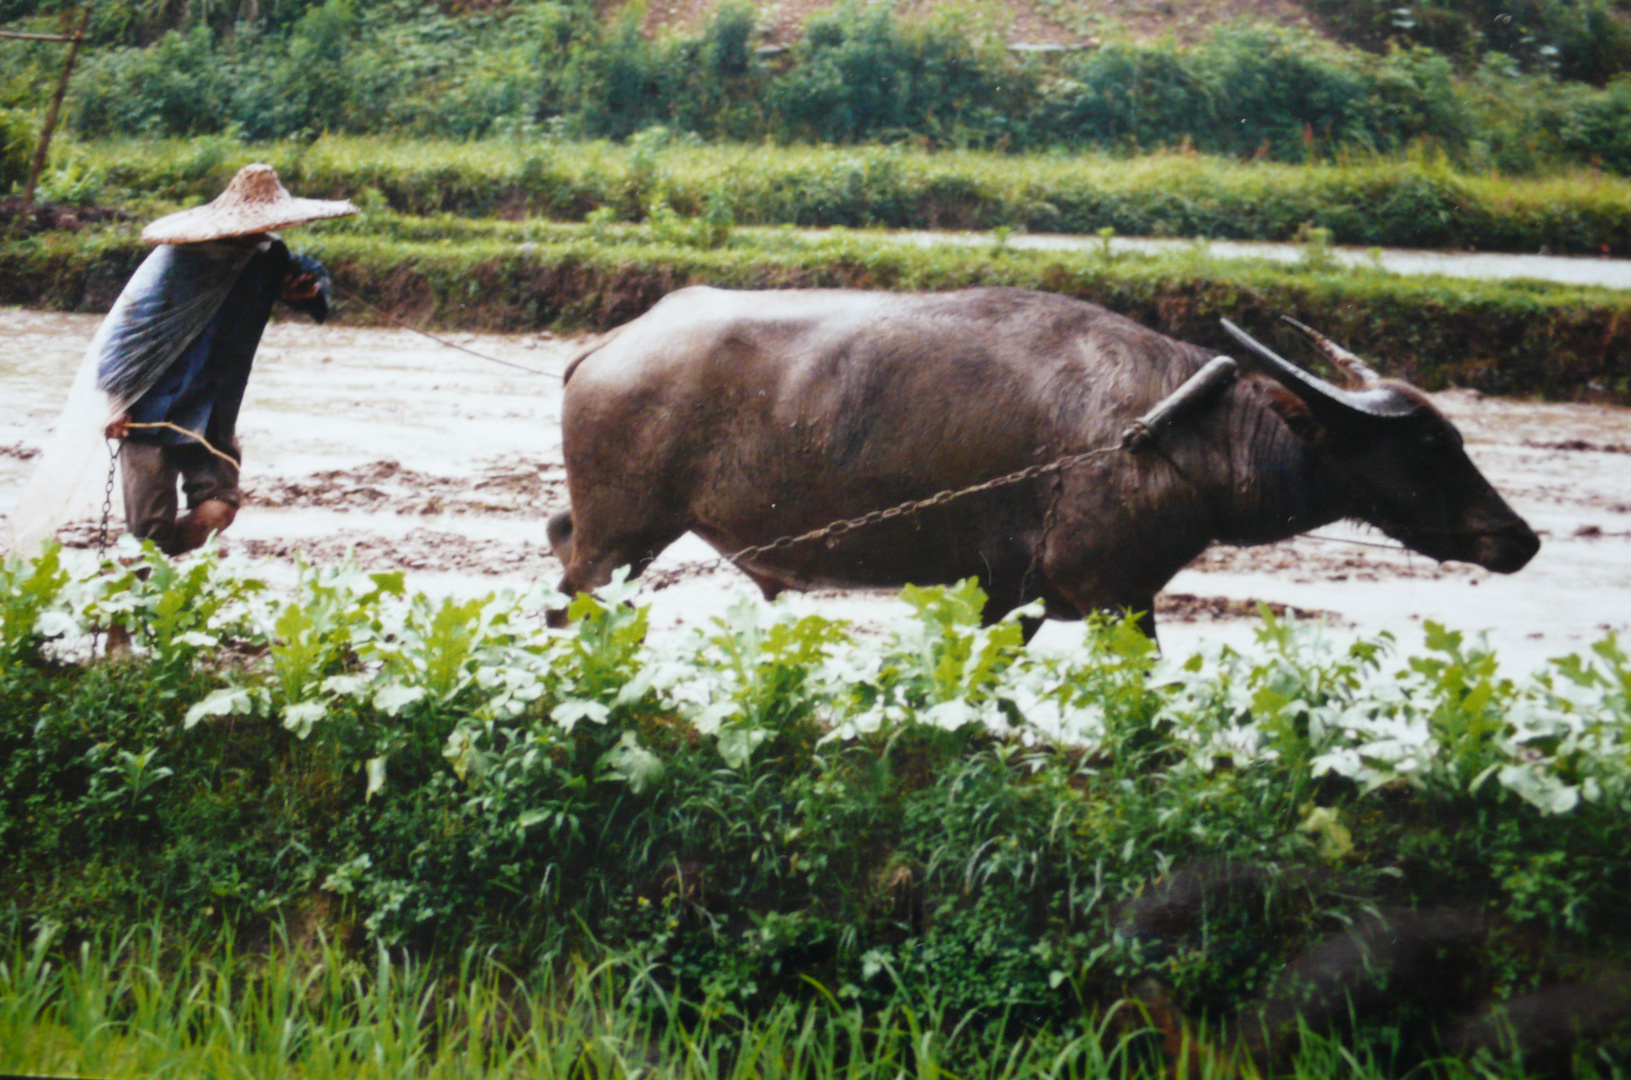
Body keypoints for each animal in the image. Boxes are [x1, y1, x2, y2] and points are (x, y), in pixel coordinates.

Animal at [551, 287, 1539, 642]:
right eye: (1426, 446)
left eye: (1455, 437)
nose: (1517, 538)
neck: (1166, 431)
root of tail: (609, 346)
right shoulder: (1110, 593)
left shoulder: (1013, 596)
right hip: (622, 537)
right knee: (571, 595)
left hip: (621, 537)